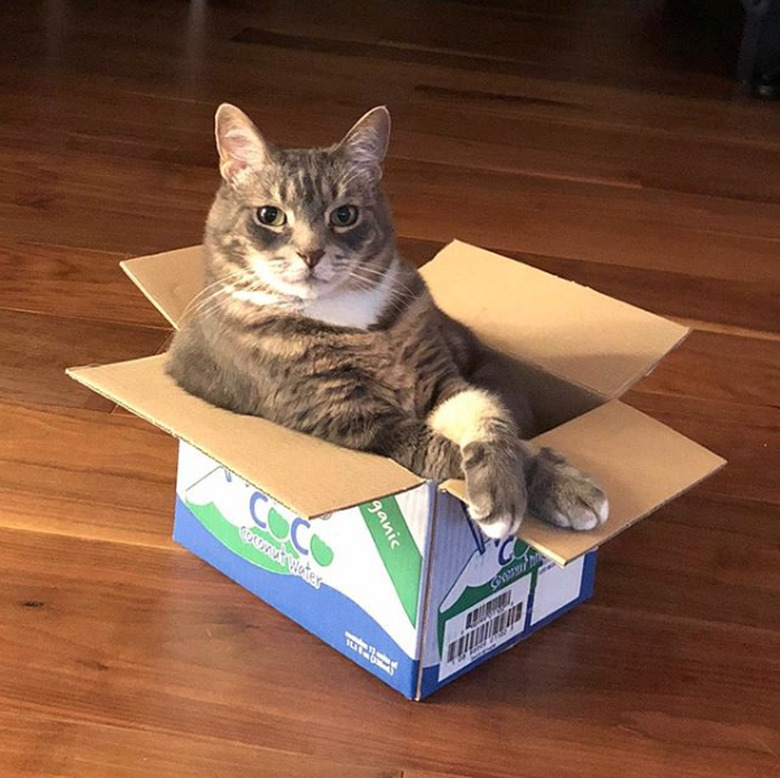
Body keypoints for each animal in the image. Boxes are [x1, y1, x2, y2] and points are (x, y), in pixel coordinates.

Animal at [168, 103, 608, 536]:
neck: (353, 321)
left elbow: (493, 419)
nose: (311, 253)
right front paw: (523, 495)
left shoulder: (441, 379)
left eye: (344, 215)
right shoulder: (353, 418)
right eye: (270, 215)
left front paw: (560, 483)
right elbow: (440, 450)